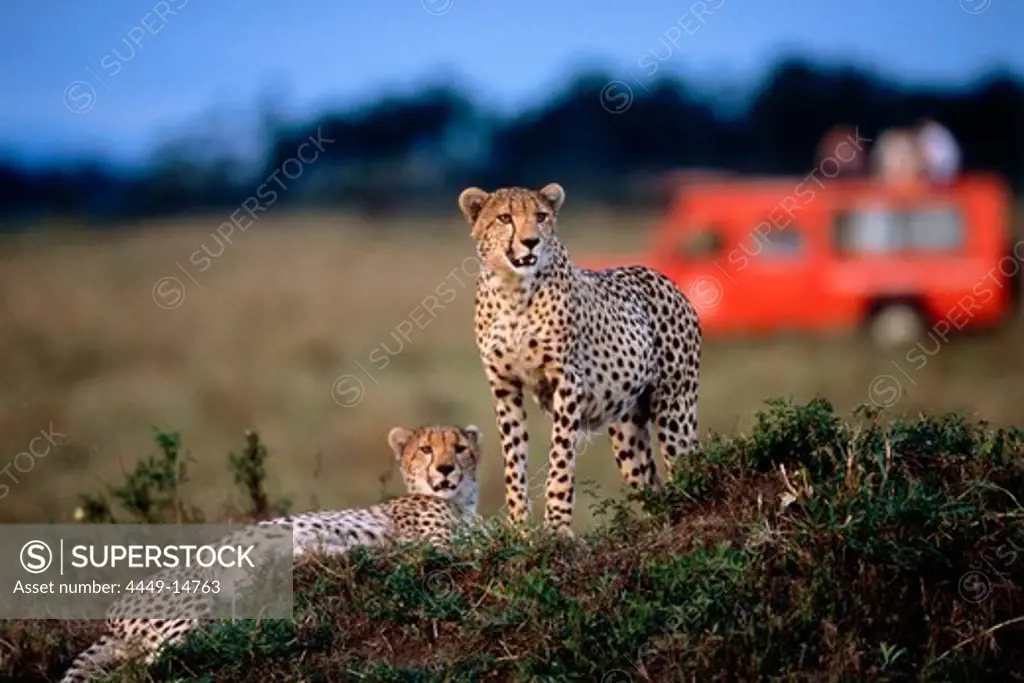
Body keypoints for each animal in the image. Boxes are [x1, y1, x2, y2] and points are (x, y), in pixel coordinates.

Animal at [60, 423, 483, 679]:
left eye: (460, 448)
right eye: (426, 449)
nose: (446, 469)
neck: (459, 501)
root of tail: (115, 611)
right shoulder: (436, 544)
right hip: (196, 607)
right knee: (159, 660)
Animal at [460, 183, 700, 532]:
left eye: (541, 216)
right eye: (504, 218)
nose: (531, 241)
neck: (513, 291)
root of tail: (664, 278)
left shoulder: (567, 381)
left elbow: (560, 457)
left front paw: (557, 525)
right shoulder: (505, 386)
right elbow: (513, 461)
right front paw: (519, 528)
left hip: (674, 409)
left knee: (690, 467)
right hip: (627, 429)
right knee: (652, 485)